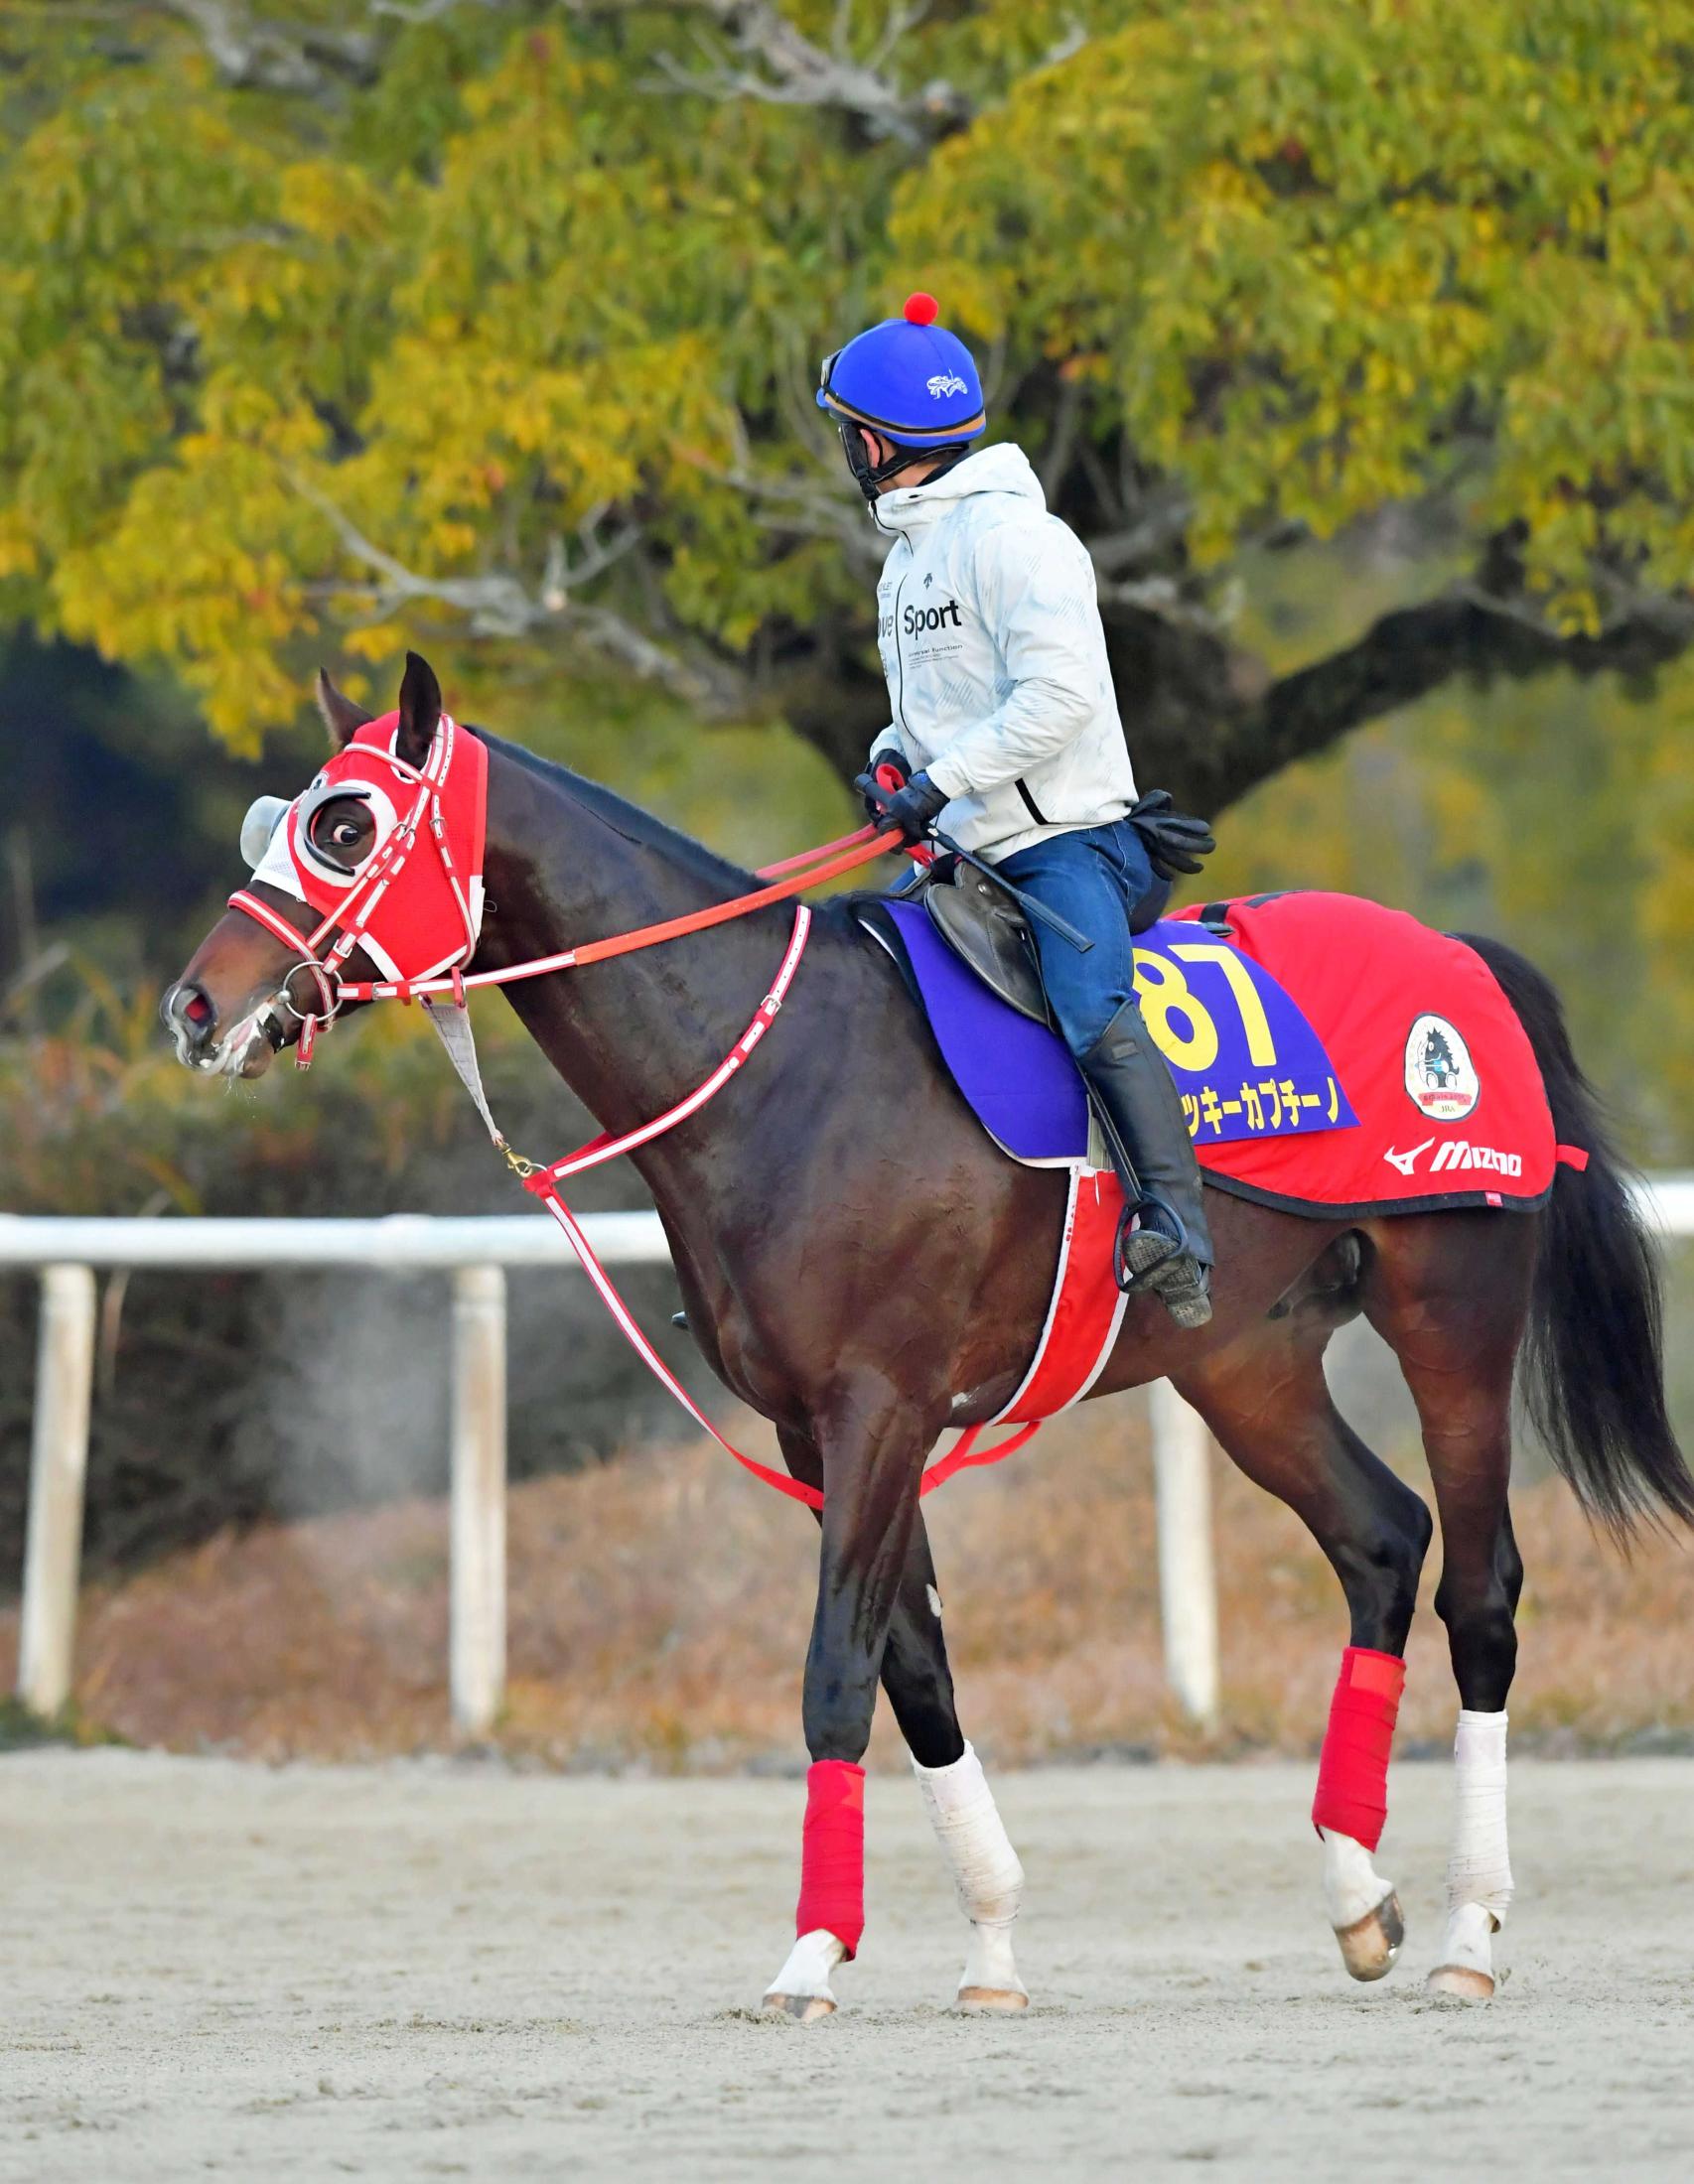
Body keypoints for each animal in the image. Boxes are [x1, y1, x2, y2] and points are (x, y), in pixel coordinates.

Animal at [162, 646, 1694, 2009]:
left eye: (343, 824)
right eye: (280, 818)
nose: (193, 1005)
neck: (775, 1065)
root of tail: (1463, 959)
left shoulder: (878, 1407)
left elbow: (838, 1671)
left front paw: (805, 1959)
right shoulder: (815, 1424)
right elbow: (918, 1675)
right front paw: (988, 1946)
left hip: (1452, 1312)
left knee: (1479, 1591)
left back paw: (1466, 1930)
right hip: (1244, 1363)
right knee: (1379, 1542)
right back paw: (1354, 1894)